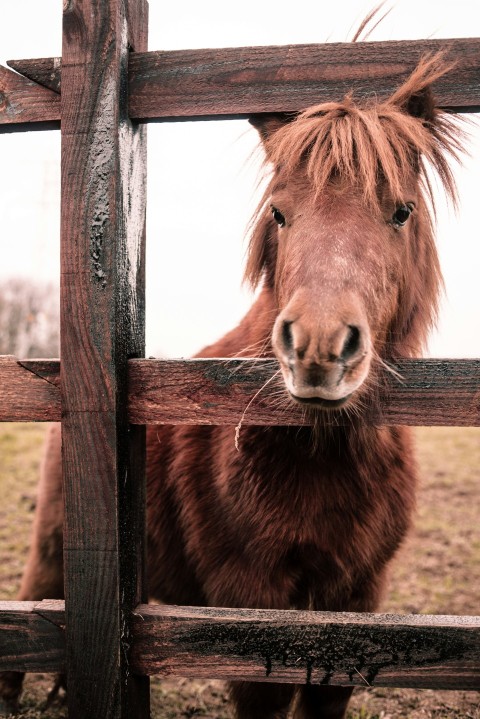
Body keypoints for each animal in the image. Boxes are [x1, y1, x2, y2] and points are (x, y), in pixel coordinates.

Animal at [0, 55, 464, 718]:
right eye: (279, 213)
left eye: (402, 211)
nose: (319, 348)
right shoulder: (251, 607)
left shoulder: (356, 603)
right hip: (53, 542)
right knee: (36, 601)